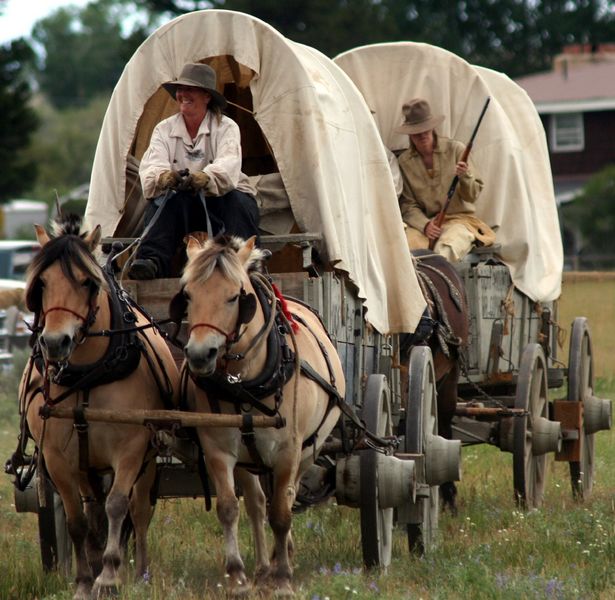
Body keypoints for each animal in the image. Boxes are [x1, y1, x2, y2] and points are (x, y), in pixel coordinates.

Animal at [15, 216, 178, 600]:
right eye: (41, 284)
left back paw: (140, 571)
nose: (55, 342)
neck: (86, 376)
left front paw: (109, 577)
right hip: (85, 465)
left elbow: (118, 505)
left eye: (87, 282)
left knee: (139, 511)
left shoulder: (132, 448)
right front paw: (84, 580)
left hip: (147, 457)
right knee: (92, 508)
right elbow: (77, 520)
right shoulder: (57, 458)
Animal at [171, 234, 346, 596]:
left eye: (235, 296)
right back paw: (264, 566)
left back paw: (284, 557)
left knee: (288, 496)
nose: (199, 354)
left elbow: (281, 512)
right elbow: (229, 508)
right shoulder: (218, 449)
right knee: (255, 502)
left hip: (309, 449)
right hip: (248, 459)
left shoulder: (289, 450)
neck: (244, 384)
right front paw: (237, 577)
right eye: (188, 294)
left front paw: (283, 579)